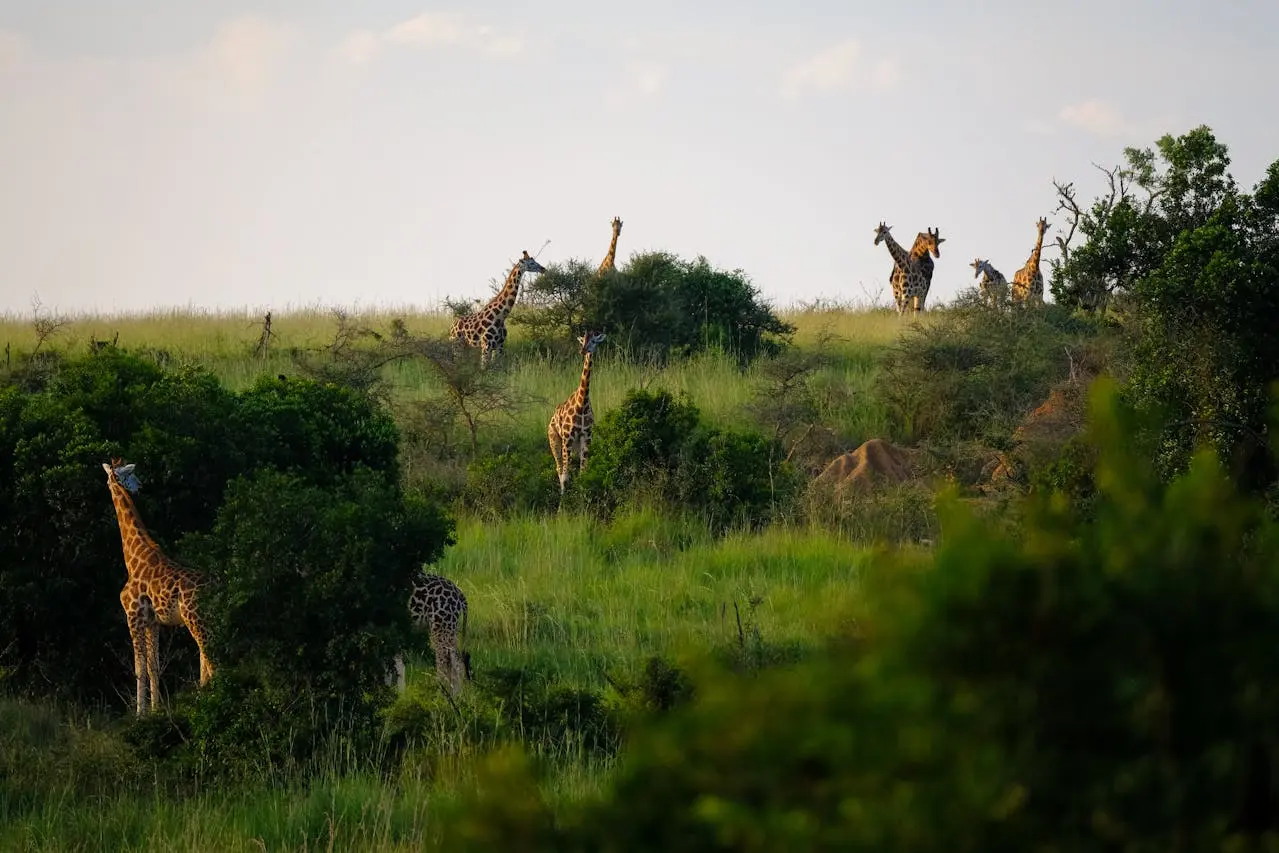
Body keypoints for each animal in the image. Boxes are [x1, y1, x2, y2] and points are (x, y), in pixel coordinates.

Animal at [102, 458, 214, 716]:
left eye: (130, 473)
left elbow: (139, 668)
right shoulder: (153, 622)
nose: (140, 486)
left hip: (195, 619)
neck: (133, 557)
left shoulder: (133, 616)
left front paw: (140, 714)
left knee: (210, 655)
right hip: (205, 619)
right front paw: (155, 710)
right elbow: (154, 666)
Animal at [548, 330, 606, 495]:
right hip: (555, 440)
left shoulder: (587, 436)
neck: (582, 404)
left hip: (574, 445)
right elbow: (565, 476)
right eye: (582, 341)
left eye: (594, 341)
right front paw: (564, 502)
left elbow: (582, 472)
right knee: (560, 469)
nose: (583, 351)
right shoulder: (567, 437)